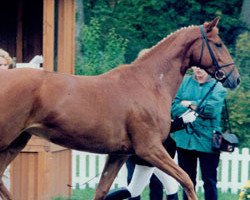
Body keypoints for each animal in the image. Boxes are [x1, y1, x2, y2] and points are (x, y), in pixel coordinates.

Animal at [0, 17, 239, 200]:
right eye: (218, 44)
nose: (235, 78)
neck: (150, 83)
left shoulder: (119, 154)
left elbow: (102, 191)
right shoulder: (149, 148)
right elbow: (187, 181)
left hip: (17, 142)